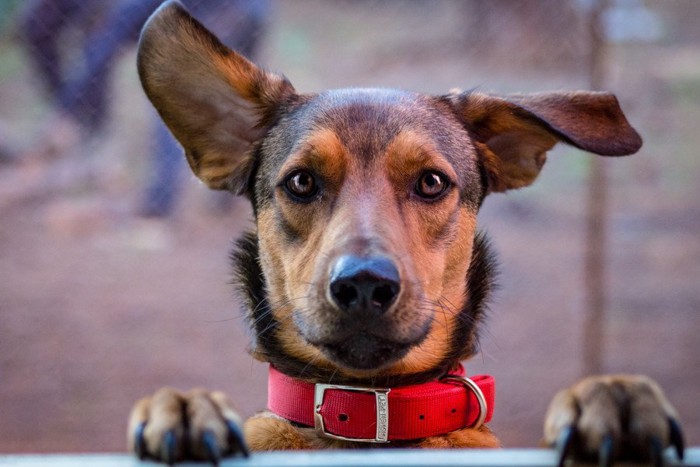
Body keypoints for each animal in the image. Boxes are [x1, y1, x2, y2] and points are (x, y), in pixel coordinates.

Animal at [126, 1, 684, 466]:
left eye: (431, 182)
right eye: (301, 181)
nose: (364, 285)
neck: (371, 414)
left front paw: (610, 396)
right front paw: (186, 406)